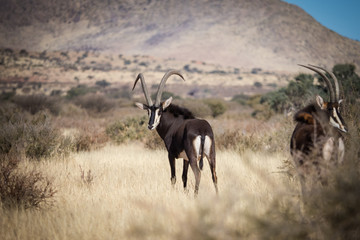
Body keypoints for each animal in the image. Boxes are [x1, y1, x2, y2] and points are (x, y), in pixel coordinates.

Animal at [292, 64, 348, 196]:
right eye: (330, 108)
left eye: (338, 108)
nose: (344, 127)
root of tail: (334, 138)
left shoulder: (299, 164)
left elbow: (304, 186)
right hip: (337, 164)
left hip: (321, 166)